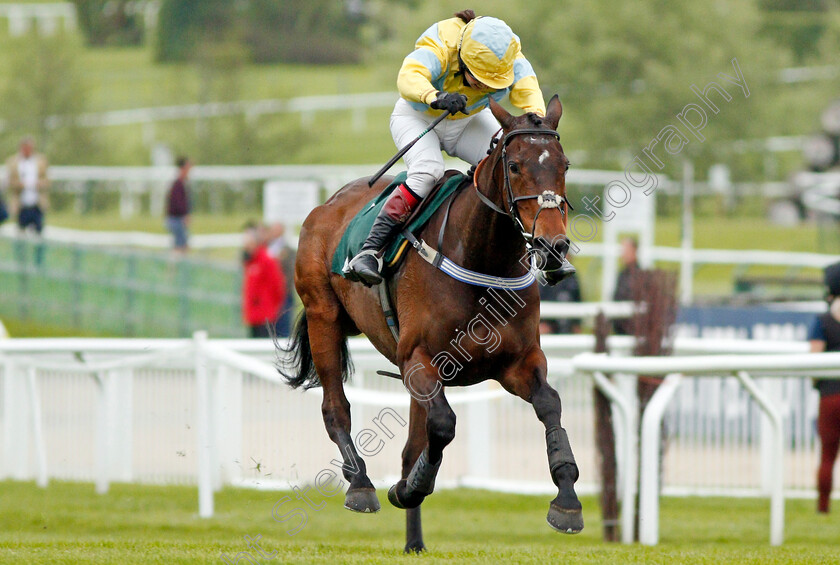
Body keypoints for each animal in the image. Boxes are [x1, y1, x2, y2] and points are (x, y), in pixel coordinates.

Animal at [278, 96, 580, 552]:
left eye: (563, 165)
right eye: (514, 166)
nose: (553, 245)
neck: (482, 259)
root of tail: (328, 204)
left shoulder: (519, 362)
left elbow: (550, 404)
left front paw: (567, 499)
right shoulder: (418, 358)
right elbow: (442, 425)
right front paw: (409, 487)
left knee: (407, 443)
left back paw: (413, 541)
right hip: (323, 316)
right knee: (335, 408)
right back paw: (361, 485)